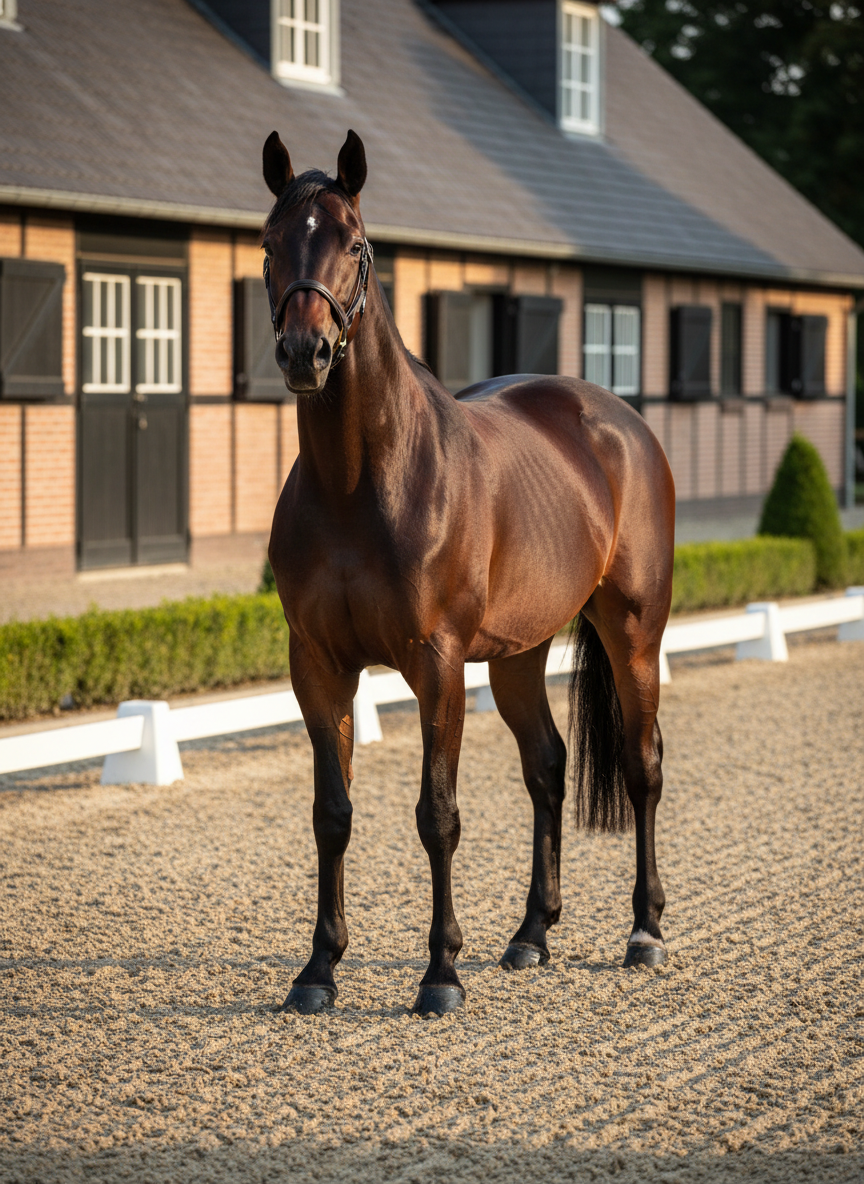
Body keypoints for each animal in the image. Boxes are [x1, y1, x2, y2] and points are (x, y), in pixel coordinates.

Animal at [263, 129, 675, 1016]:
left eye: (355, 243)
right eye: (272, 243)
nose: (306, 352)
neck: (359, 482)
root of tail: (619, 420)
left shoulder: (437, 662)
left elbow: (438, 815)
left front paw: (441, 975)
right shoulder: (318, 665)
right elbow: (331, 813)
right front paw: (317, 970)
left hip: (632, 632)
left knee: (642, 766)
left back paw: (645, 931)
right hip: (520, 654)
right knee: (547, 768)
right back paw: (530, 935)